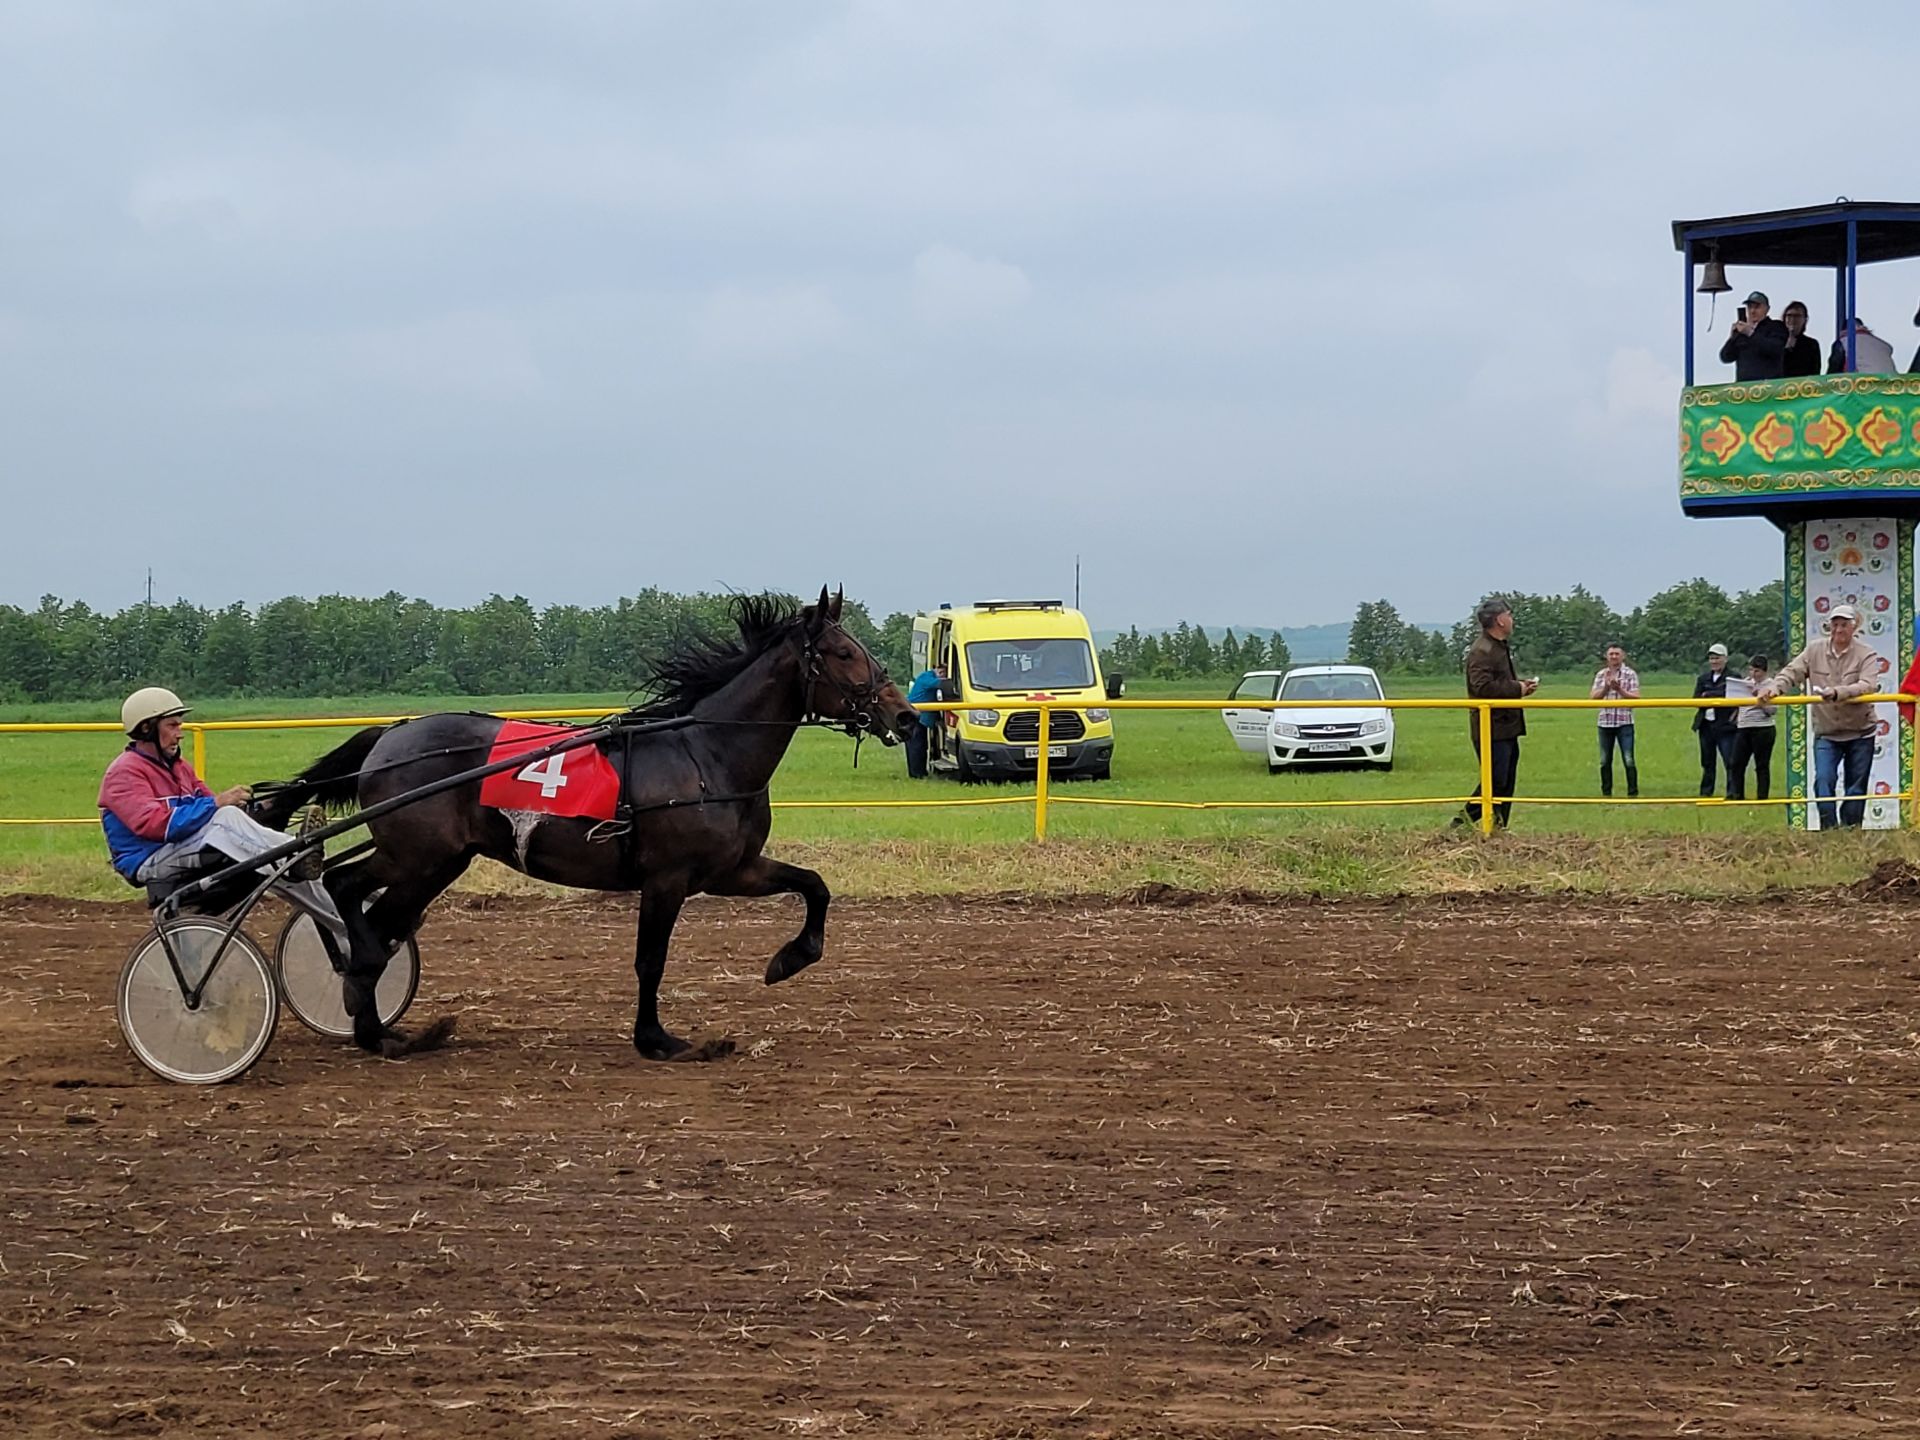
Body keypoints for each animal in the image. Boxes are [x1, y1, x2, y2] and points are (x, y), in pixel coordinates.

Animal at [259, 591, 917, 1067]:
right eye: (842, 653)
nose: (907, 715)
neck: (707, 754)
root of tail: (390, 735)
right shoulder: (667, 879)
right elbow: (650, 959)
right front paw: (659, 1039)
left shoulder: (732, 870)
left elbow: (814, 885)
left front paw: (789, 958)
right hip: (419, 856)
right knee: (348, 891)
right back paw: (364, 990)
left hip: (436, 861)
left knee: (371, 910)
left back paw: (378, 1023)